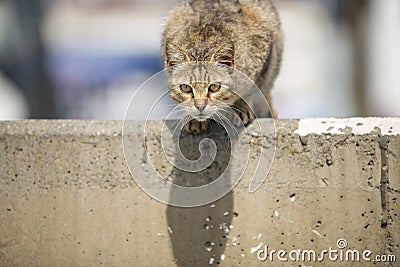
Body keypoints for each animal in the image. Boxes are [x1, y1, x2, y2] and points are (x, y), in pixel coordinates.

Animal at [161, 0, 282, 134]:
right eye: (185, 88)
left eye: (214, 87)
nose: (200, 106)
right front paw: (193, 118)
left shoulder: (266, 54)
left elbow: (253, 88)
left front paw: (241, 106)